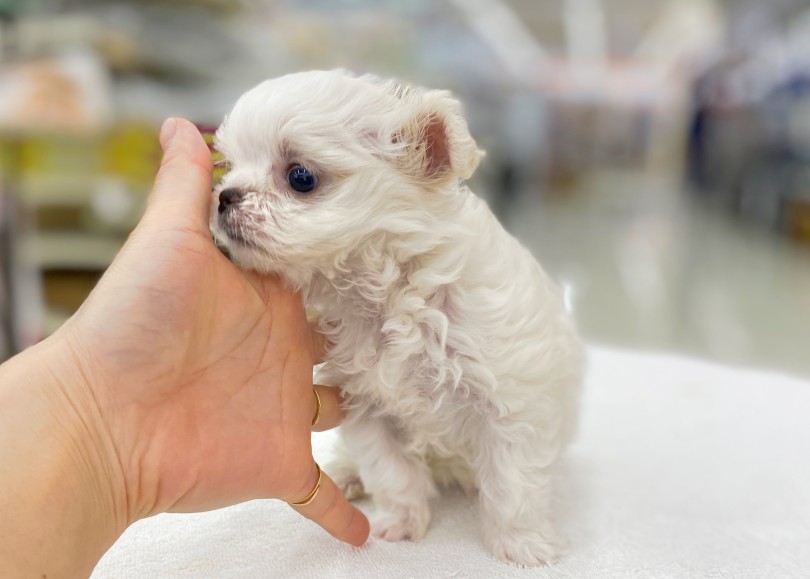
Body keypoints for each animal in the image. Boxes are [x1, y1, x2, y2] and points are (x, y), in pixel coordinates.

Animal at [210, 69, 580, 568]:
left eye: (301, 177)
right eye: (228, 167)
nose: (224, 197)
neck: (390, 293)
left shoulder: (511, 403)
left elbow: (513, 483)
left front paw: (522, 546)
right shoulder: (366, 407)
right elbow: (391, 471)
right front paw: (402, 524)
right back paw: (345, 475)